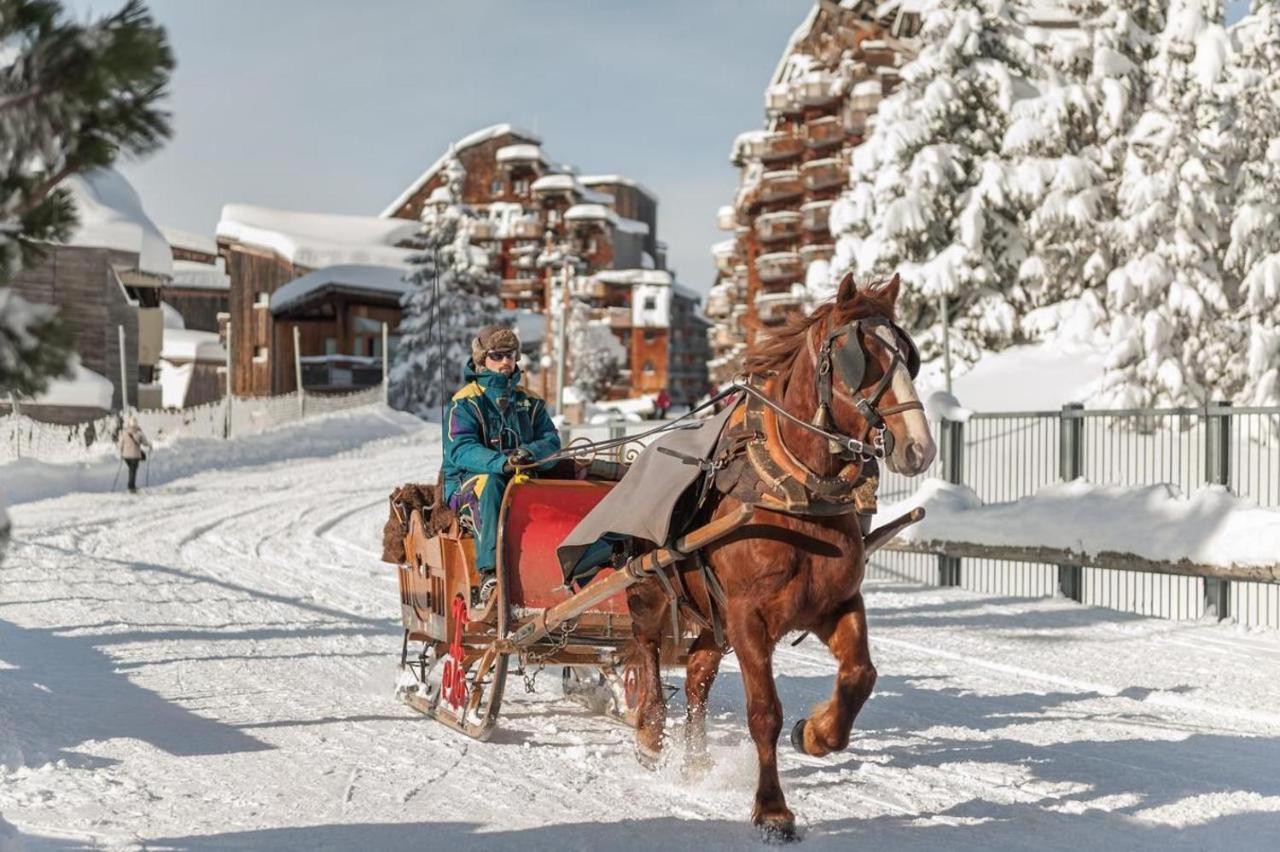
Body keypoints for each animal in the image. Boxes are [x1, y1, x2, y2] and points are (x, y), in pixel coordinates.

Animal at [624, 272, 936, 834]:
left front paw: (815, 734)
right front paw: (772, 807)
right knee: (647, 648)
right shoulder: (749, 616)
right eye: (862, 356)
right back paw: (651, 731)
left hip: (713, 616)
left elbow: (860, 676)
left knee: (698, 673)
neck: (796, 494)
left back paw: (696, 759)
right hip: (650, 589)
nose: (919, 448)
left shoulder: (835, 604)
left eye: (907, 355)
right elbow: (763, 711)